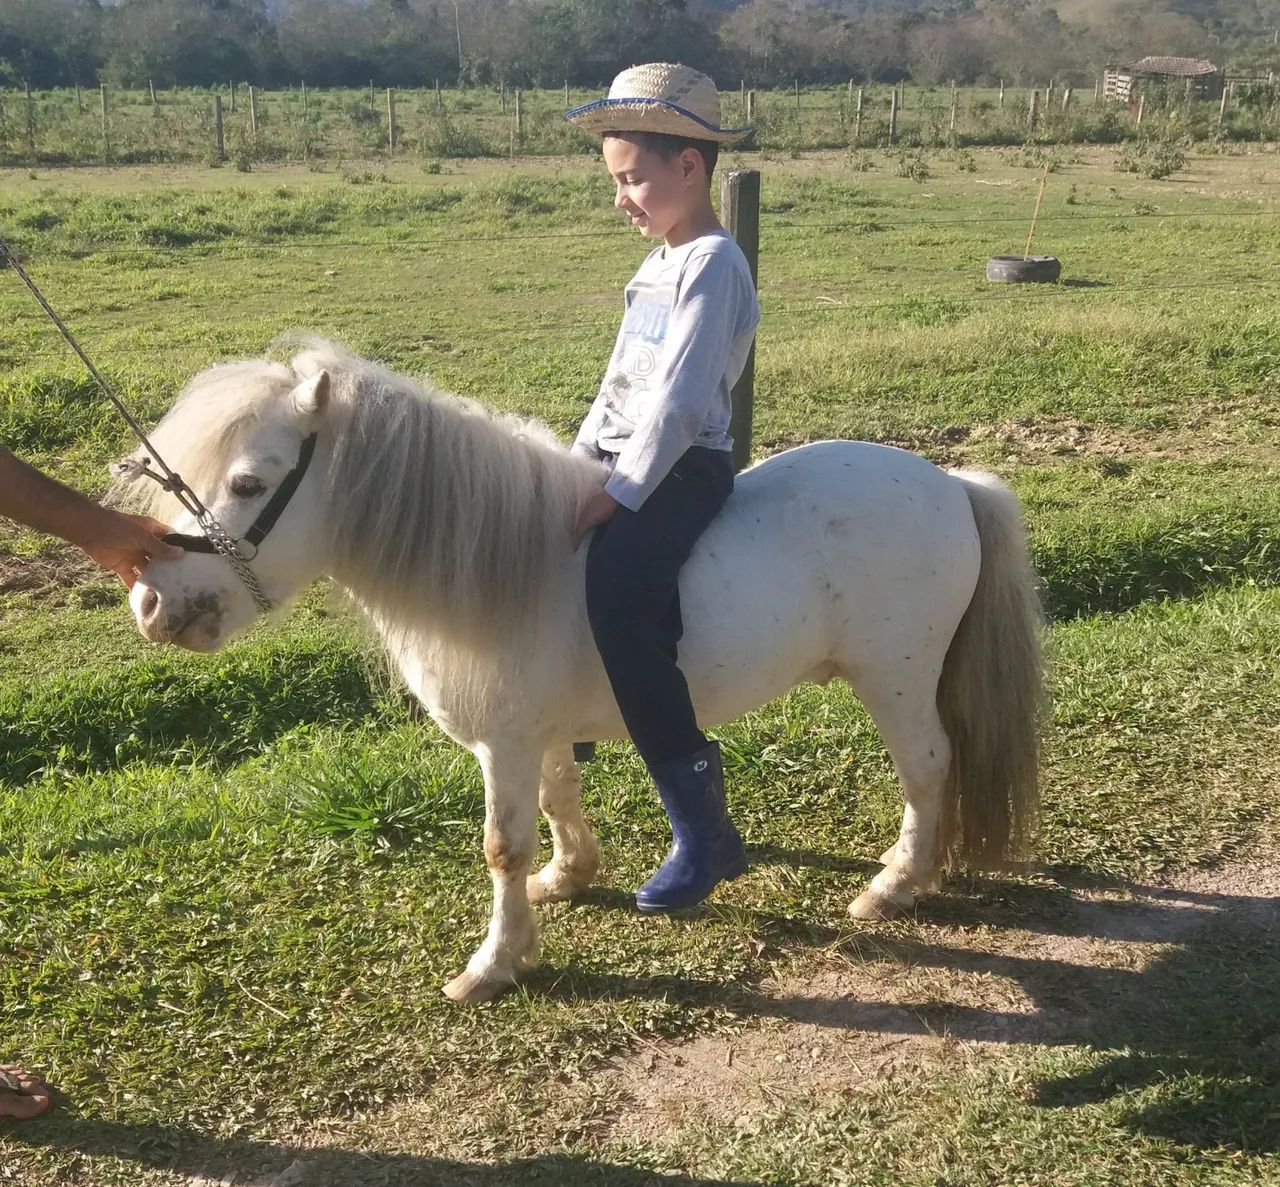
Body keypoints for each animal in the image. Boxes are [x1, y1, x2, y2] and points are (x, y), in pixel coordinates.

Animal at [118, 338, 1043, 1005]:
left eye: (248, 482)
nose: (153, 605)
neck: (508, 564)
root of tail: (949, 482)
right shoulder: (537, 733)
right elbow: (558, 800)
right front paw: (566, 879)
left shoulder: (503, 744)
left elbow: (502, 845)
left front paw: (494, 962)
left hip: (895, 676)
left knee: (927, 765)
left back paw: (896, 883)